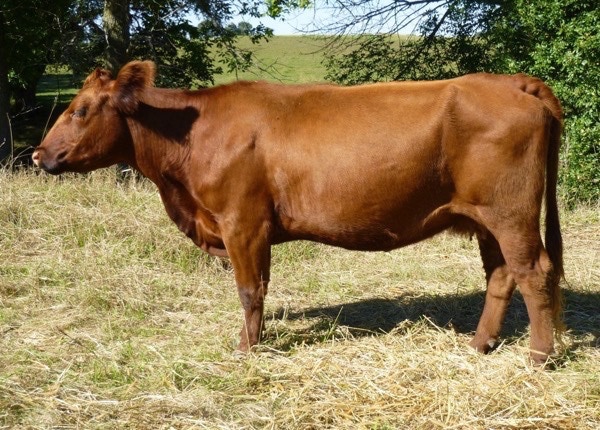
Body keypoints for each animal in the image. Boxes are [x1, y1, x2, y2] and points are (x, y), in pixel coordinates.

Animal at [32, 61, 564, 364]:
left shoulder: (242, 223)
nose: (38, 155)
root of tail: (510, 83)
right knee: (501, 275)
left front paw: (247, 350)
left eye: (80, 110)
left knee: (534, 272)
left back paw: (538, 357)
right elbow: (259, 291)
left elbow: (250, 291)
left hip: (509, 213)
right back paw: (479, 345)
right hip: (485, 218)